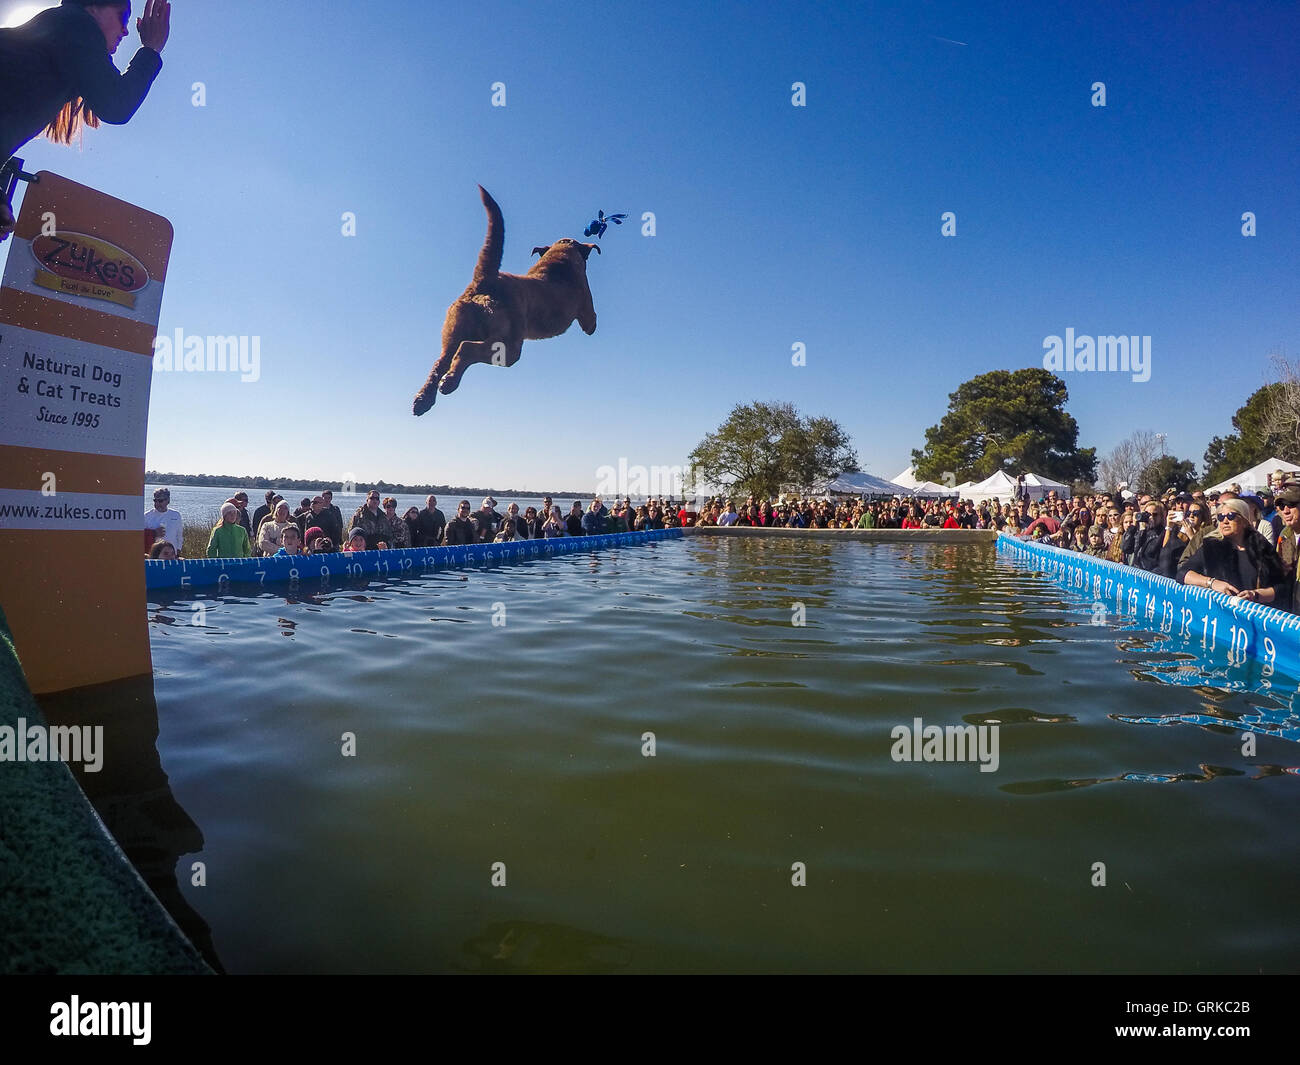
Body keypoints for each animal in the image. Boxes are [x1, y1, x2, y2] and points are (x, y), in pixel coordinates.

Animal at [413, 185, 600, 413]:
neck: (560, 259)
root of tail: (484, 279)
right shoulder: (586, 303)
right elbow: (591, 319)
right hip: (508, 345)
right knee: (465, 349)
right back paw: (449, 383)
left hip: (454, 331)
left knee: (440, 362)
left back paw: (423, 400)